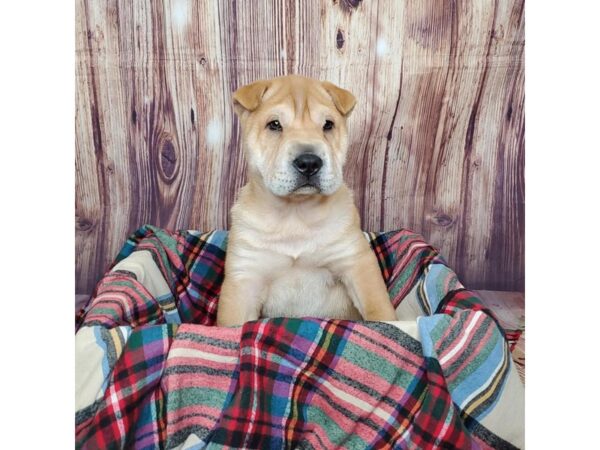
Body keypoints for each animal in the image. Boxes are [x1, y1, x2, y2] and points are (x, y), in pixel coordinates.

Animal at [216, 75, 398, 326]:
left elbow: (379, 310)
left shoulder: (356, 263)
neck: (295, 213)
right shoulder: (244, 279)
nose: (309, 162)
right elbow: (231, 324)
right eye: (274, 125)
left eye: (328, 125)